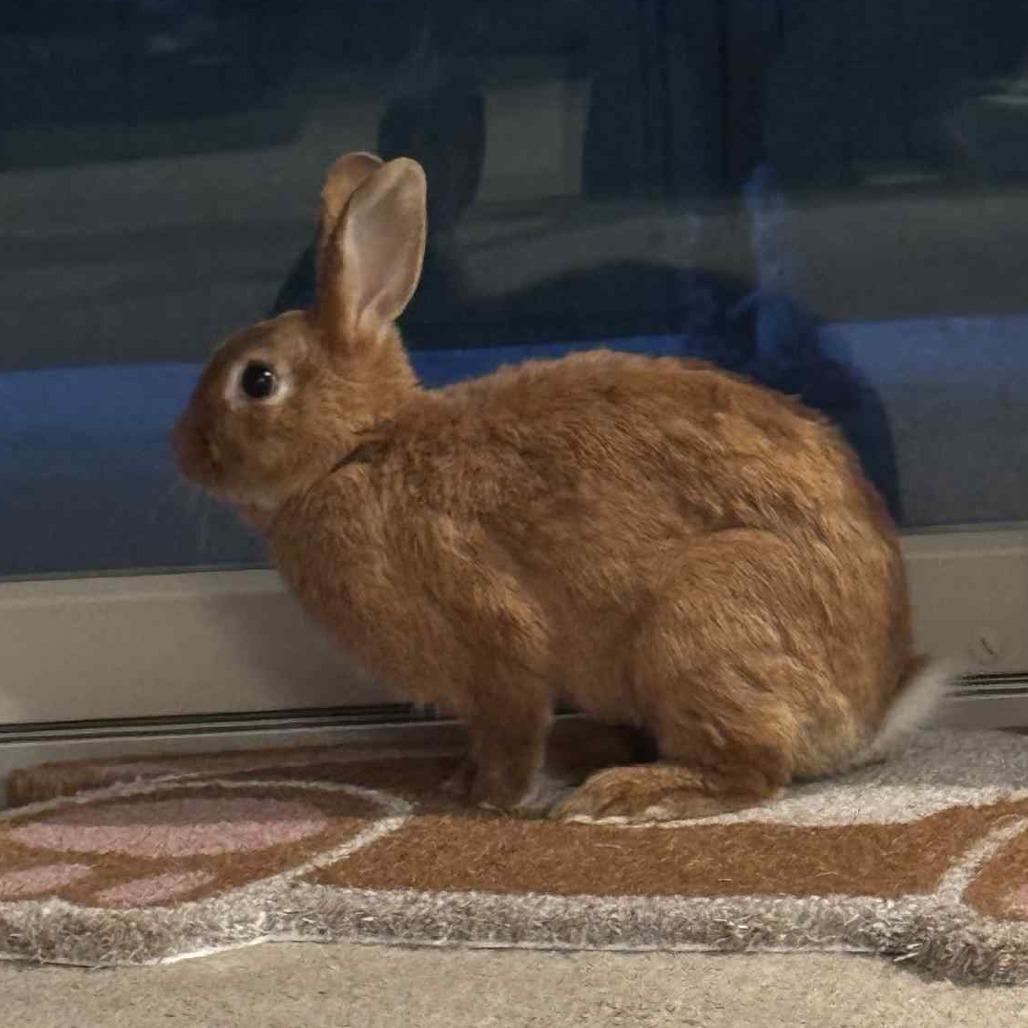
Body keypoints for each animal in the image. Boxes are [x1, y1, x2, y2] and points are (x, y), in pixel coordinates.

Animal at [173, 151, 941, 822]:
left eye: (258, 380)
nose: (182, 452)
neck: (358, 450)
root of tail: (870, 710)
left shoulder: (495, 639)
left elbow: (510, 726)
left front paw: (490, 799)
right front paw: (458, 782)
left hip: (702, 626)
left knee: (753, 769)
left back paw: (629, 794)